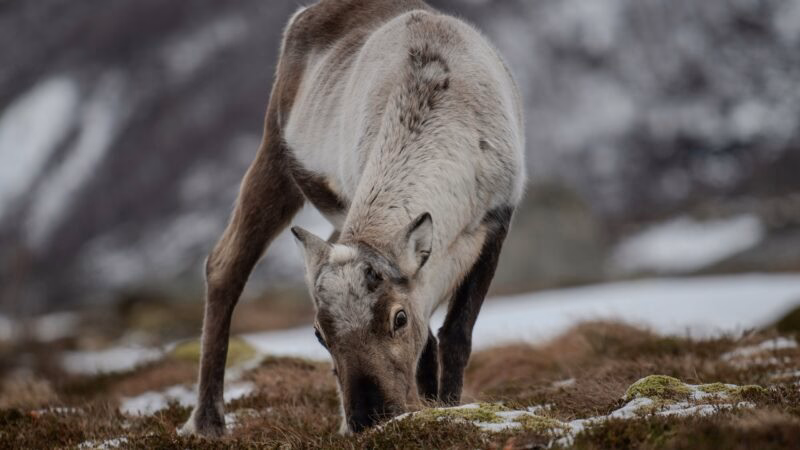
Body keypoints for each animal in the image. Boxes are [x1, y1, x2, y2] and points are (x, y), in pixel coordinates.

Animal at [180, 0, 525, 437]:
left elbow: (454, 336)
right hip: (277, 155)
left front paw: (446, 407)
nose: (367, 418)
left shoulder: (496, 220)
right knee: (225, 264)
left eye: (398, 318)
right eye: (318, 334)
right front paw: (427, 410)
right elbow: (428, 345)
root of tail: (308, 12)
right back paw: (208, 421)